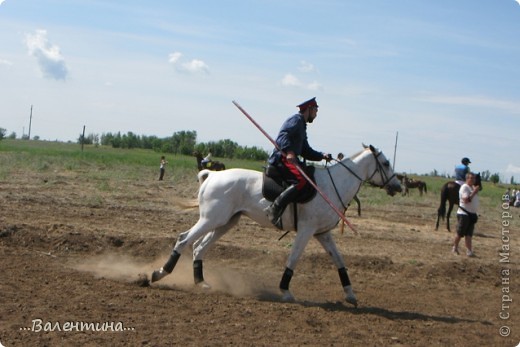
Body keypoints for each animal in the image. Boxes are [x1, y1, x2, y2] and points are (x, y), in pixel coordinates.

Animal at [150, 144, 402, 308]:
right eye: (386, 163)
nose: (398, 186)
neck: (331, 186)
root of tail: (212, 174)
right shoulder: (307, 231)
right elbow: (293, 259)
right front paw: (285, 290)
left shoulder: (322, 233)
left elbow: (340, 262)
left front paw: (350, 295)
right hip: (211, 220)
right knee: (184, 239)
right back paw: (159, 273)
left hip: (225, 222)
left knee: (199, 247)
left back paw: (201, 282)